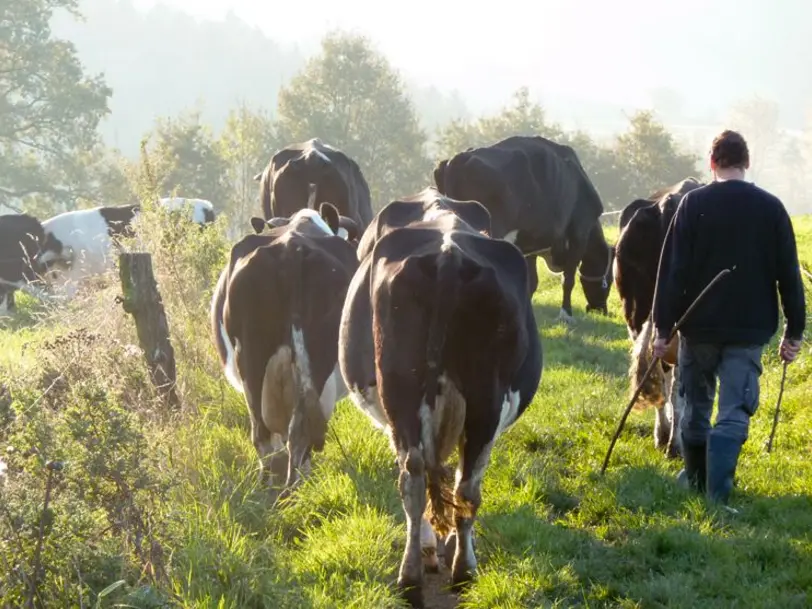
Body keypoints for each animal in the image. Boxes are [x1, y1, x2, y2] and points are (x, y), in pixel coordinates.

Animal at [213, 202, 358, 492]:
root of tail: (293, 248)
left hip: (252, 360)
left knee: (264, 432)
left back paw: (271, 486)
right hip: (313, 367)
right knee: (295, 432)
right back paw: (292, 485)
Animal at [340, 188, 544, 604]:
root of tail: (449, 254)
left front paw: (432, 546)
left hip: (401, 390)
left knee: (415, 477)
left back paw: (412, 576)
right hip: (484, 398)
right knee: (465, 486)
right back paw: (462, 569)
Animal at [434, 134, 612, 324]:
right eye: (610, 278)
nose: (601, 310)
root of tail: (462, 157)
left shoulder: (530, 243)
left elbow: (531, 282)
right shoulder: (579, 233)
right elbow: (568, 279)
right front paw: (566, 315)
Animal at [612, 176, 700, 456]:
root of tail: (668, 202)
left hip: (636, 312)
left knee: (660, 373)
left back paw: (662, 435)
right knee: (677, 382)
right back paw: (674, 442)